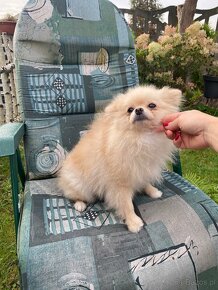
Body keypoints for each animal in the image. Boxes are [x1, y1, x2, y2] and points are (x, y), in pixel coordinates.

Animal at [58, 85, 182, 232]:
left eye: (152, 105)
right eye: (129, 110)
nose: (138, 109)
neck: (141, 138)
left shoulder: (142, 169)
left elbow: (145, 182)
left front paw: (152, 191)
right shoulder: (119, 183)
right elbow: (126, 204)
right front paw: (133, 222)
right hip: (81, 187)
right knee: (73, 195)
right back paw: (80, 204)